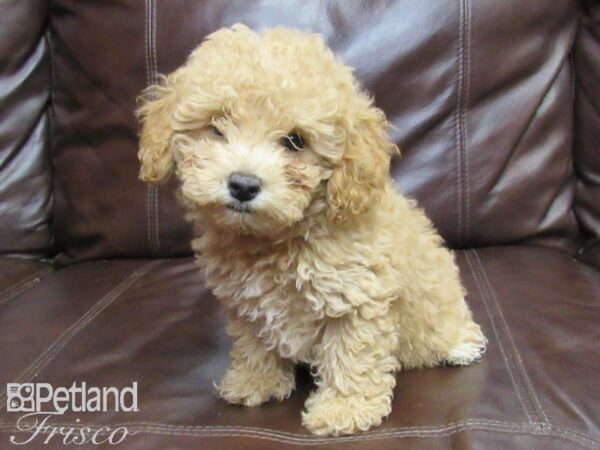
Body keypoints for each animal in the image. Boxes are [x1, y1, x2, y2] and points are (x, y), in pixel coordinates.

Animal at [137, 23, 488, 436]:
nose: (243, 184)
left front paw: (343, 410)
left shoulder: (359, 295)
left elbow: (353, 352)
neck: (276, 240)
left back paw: (460, 346)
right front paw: (256, 382)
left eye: (295, 141)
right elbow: (253, 343)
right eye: (217, 126)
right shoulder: (248, 303)